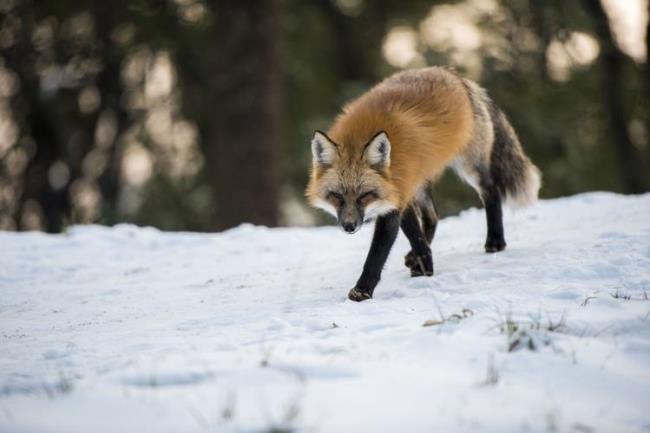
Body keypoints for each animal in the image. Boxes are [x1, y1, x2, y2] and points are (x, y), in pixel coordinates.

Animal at [306, 66, 540, 300]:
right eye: (336, 196)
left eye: (365, 195)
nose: (349, 226)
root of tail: (452, 73)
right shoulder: (399, 192)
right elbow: (415, 234)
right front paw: (424, 264)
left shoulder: (396, 200)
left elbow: (378, 254)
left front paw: (363, 290)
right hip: (419, 185)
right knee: (433, 216)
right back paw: (416, 257)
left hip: (469, 166)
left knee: (491, 191)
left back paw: (495, 241)